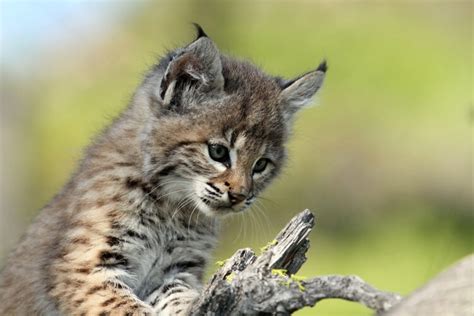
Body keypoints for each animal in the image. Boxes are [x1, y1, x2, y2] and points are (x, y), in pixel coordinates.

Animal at [0, 25, 326, 314]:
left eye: (261, 165)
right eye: (218, 152)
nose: (239, 197)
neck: (171, 208)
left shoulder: (176, 270)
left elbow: (182, 298)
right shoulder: (82, 267)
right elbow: (126, 309)